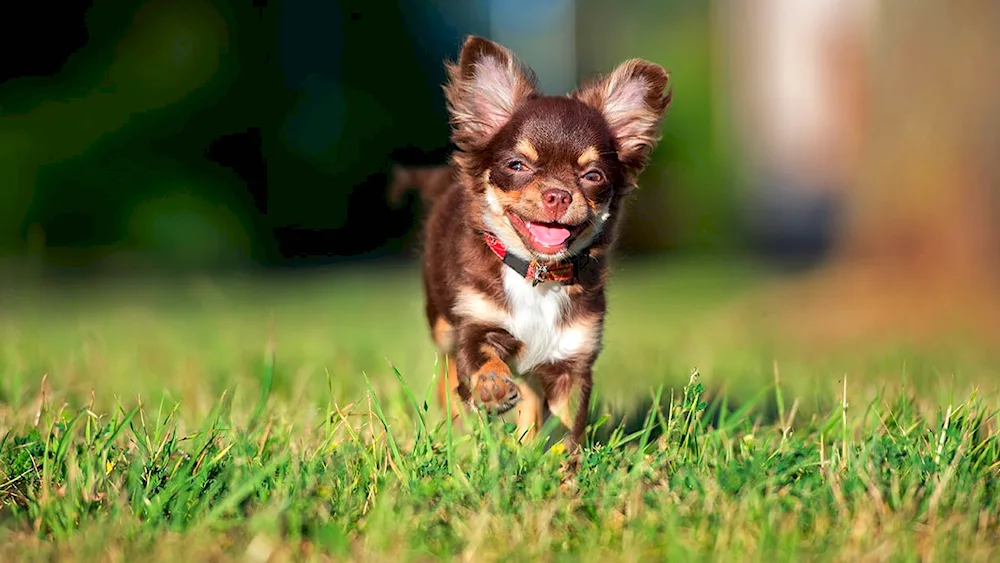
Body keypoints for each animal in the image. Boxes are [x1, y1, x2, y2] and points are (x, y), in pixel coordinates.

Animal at [406, 35, 672, 452]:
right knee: (448, 368)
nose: (558, 195)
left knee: (530, 397)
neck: (538, 275)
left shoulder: (572, 358)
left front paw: (561, 463)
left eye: (593, 176)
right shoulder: (477, 326)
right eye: (517, 165)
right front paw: (492, 387)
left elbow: (566, 424)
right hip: (442, 322)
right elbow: (480, 361)